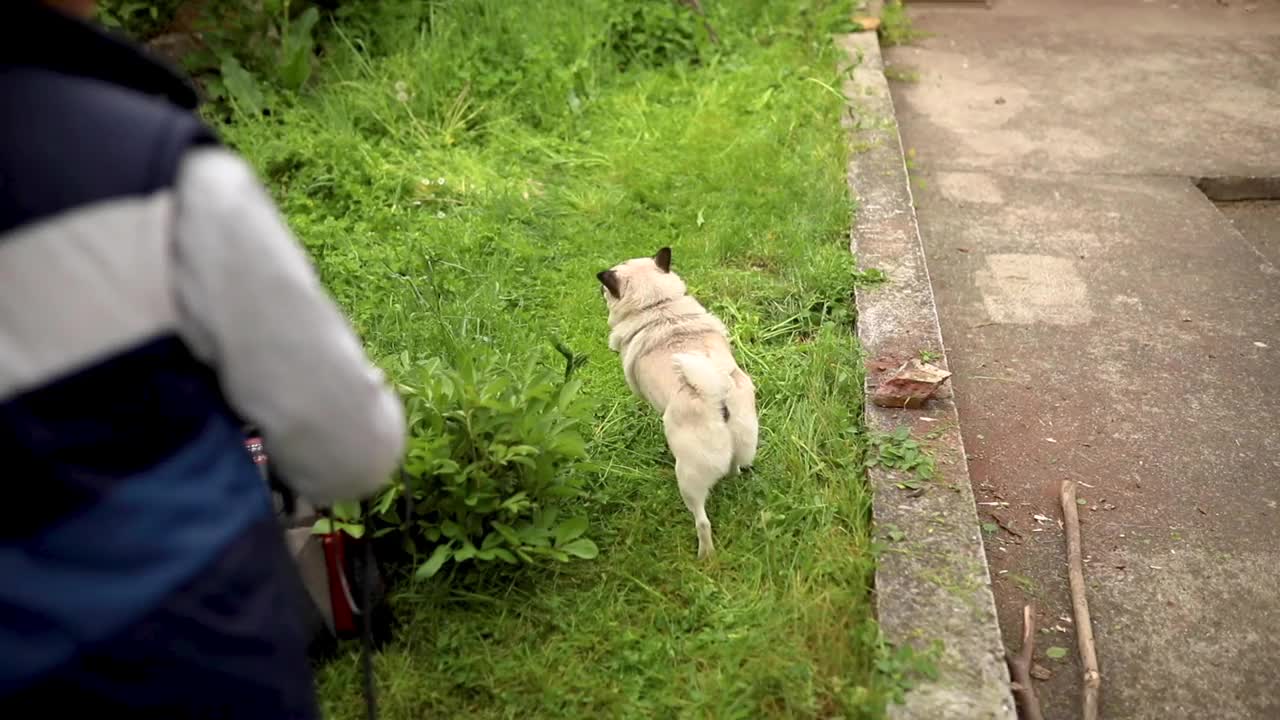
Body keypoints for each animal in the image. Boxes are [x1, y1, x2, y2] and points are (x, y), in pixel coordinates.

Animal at [593, 245, 752, 556]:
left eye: (606, 288)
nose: (600, 290)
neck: (657, 306)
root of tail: (717, 395)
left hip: (688, 479)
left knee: (702, 522)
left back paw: (705, 554)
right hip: (742, 440)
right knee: (734, 467)